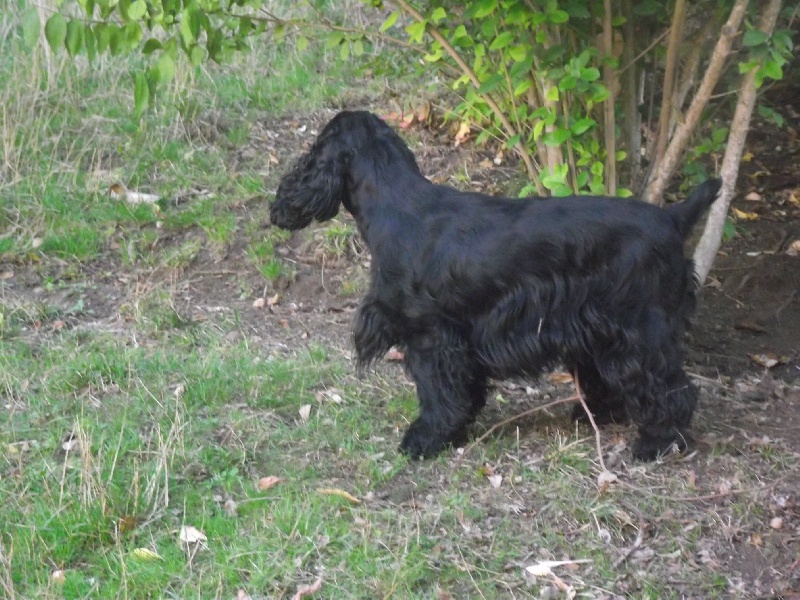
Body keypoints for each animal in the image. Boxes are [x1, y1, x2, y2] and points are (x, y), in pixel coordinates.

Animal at [268, 110, 720, 462]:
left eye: (315, 147)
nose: (280, 200)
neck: (399, 205)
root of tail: (674, 219)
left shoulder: (431, 336)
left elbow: (437, 391)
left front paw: (426, 438)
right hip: (603, 330)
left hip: (641, 331)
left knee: (672, 390)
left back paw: (656, 443)